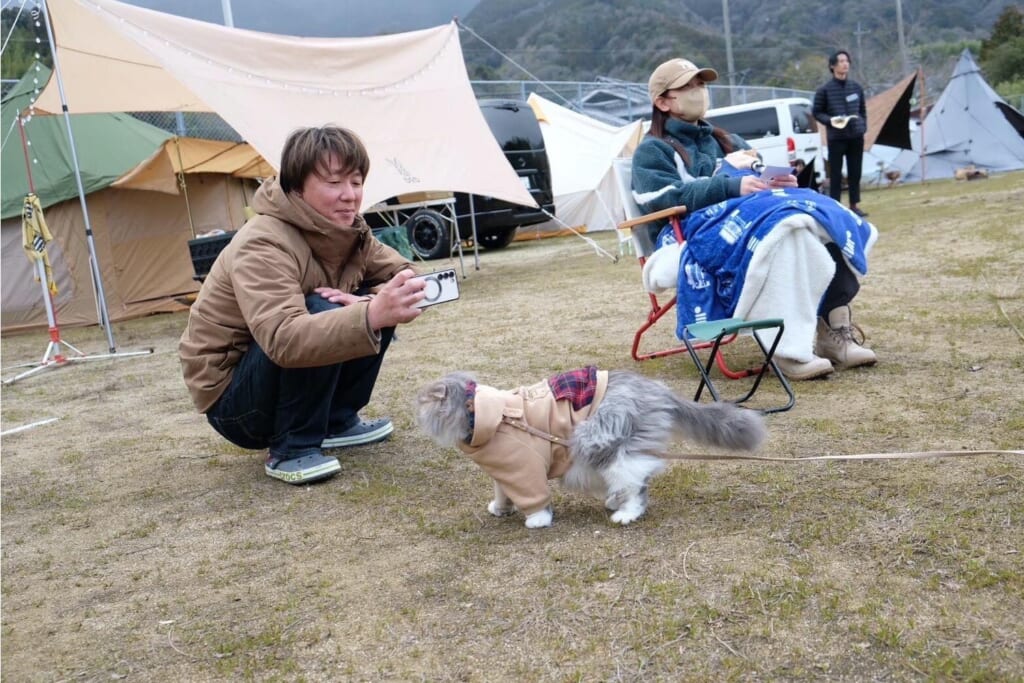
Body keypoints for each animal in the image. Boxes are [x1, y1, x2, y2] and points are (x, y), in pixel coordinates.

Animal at [411, 368, 765, 528]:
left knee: (636, 485)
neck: (486, 414)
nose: (414, 405)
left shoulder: (522, 467)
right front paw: (500, 508)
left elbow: (534, 499)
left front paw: (537, 520)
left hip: (600, 441)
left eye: (424, 402)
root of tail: (655, 389)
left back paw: (625, 513)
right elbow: (502, 492)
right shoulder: (503, 471)